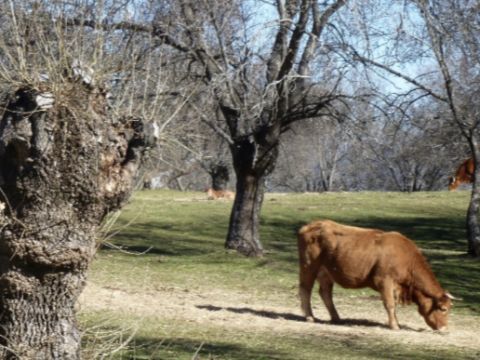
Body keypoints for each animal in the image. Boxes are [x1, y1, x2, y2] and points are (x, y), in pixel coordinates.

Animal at [296, 219, 454, 330]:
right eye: (443, 309)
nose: (444, 328)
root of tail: (310, 226)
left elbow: (393, 304)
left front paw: (396, 322)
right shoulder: (384, 280)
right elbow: (390, 304)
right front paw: (394, 326)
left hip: (325, 272)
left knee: (325, 293)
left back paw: (336, 318)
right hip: (309, 266)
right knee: (305, 289)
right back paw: (309, 317)